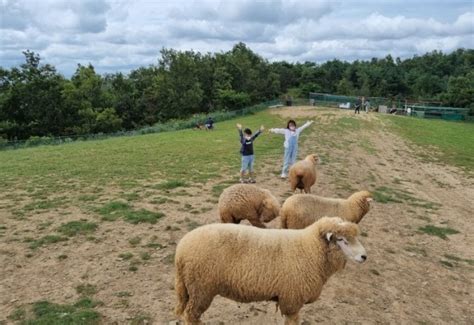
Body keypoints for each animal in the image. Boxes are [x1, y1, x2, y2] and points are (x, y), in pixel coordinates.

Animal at [173, 215, 366, 324]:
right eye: (342, 240)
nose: (364, 256)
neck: (308, 249)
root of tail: (181, 248)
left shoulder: (285, 298)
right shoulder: (292, 300)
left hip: (192, 288)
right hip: (201, 289)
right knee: (191, 316)